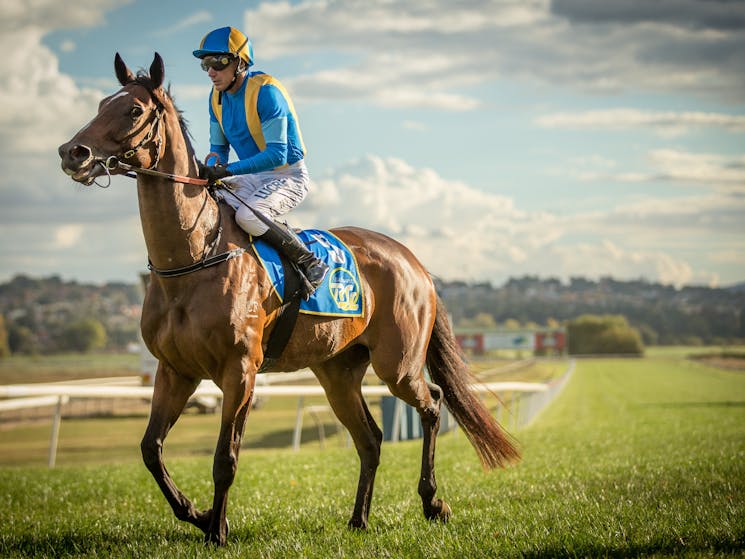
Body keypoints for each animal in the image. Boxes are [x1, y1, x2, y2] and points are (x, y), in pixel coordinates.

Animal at [58, 53, 516, 548]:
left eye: (133, 111)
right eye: (101, 104)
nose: (72, 152)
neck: (193, 259)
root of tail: (415, 263)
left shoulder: (240, 370)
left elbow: (225, 458)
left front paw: (217, 529)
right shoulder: (175, 370)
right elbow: (149, 449)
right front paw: (197, 514)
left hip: (397, 365)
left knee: (432, 403)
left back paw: (432, 502)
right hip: (337, 371)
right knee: (370, 438)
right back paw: (359, 519)